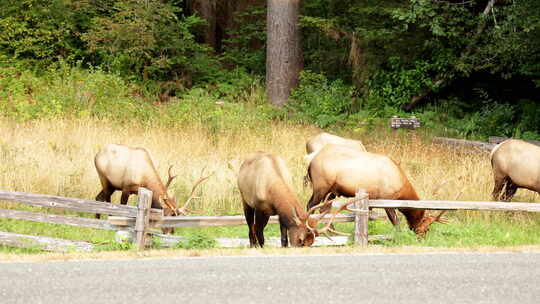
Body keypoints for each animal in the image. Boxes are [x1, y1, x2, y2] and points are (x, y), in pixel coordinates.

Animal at [306, 144, 446, 235]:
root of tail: (311, 161)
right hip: (321, 186)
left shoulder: (371, 199)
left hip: (332, 190)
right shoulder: (387, 199)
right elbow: (395, 221)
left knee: (324, 208)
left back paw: (332, 231)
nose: (422, 238)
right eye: (426, 228)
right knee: (311, 205)